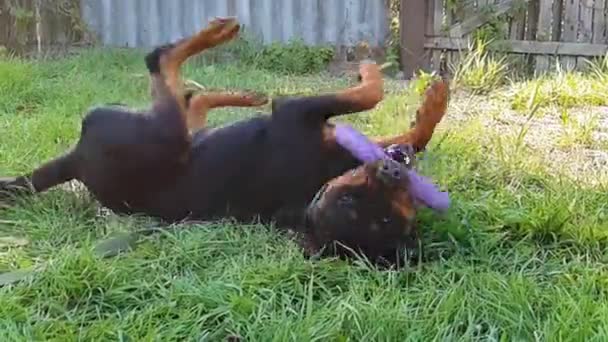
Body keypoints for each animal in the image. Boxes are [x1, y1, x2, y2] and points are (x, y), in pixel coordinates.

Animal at [0, 17, 446, 264]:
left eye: (392, 217)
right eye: (350, 201)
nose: (393, 172)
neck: (316, 188)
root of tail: (76, 160)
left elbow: (399, 125)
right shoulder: (298, 111)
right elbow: (378, 99)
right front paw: (422, 93)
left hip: (171, 132)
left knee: (183, 92)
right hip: (165, 133)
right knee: (163, 65)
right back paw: (225, 54)